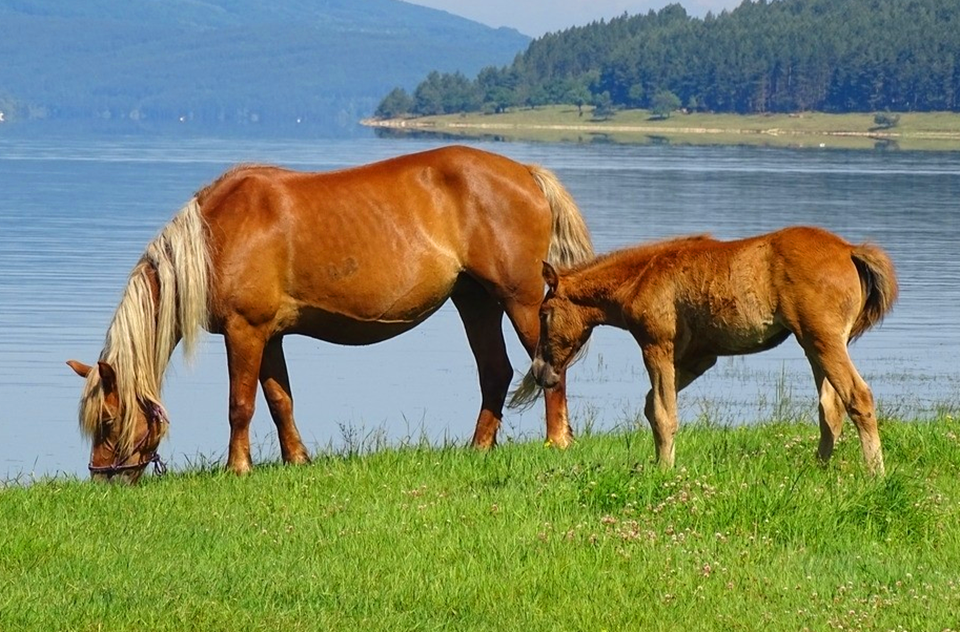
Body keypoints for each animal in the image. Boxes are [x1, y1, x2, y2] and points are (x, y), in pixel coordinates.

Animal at [65, 147, 592, 484]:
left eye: (108, 420)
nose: (103, 480)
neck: (216, 234)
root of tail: (526, 173)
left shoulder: (244, 331)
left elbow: (241, 405)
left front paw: (238, 468)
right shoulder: (270, 336)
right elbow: (280, 401)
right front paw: (297, 459)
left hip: (520, 299)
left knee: (550, 370)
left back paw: (557, 441)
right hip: (475, 301)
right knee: (495, 372)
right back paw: (478, 447)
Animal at [528, 227, 896, 474]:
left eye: (544, 313)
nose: (540, 372)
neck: (642, 277)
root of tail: (848, 250)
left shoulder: (656, 346)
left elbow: (663, 412)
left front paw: (665, 471)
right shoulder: (699, 358)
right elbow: (652, 406)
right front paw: (660, 462)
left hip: (824, 342)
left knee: (858, 397)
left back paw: (875, 473)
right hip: (814, 345)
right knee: (830, 408)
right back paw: (818, 468)